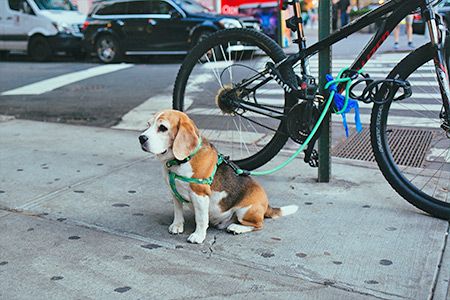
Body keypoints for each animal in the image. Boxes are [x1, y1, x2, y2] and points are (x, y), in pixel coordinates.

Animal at [139, 110, 298, 244]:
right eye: (148, 124)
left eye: (163, 128)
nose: (141, 138)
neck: (180, 161)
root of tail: (267, 205)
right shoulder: (174, 193)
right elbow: (178, 211)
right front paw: (177, 225)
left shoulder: (200, 195)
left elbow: (201, 219)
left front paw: (198, 236)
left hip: (245, 211)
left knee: (259, 225)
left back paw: (237, 228)